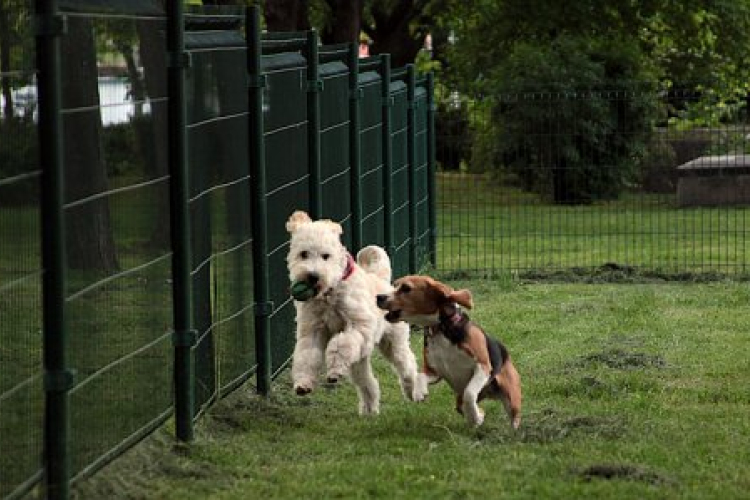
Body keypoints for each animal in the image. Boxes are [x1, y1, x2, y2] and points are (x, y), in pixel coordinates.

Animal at [288, 211, 428, 414]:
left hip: (393, 343)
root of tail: (380, 279)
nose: (313, 276)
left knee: (407, 365)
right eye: (303, 254)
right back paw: (370, 409)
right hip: (359, 358)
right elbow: (307, 356)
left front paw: (334, 371)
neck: (331, 292)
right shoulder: (312, 330)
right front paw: (303, 384)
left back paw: (413, 393)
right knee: (367, 382)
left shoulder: (359, 326)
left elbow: (341, 344)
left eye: (326, 256)